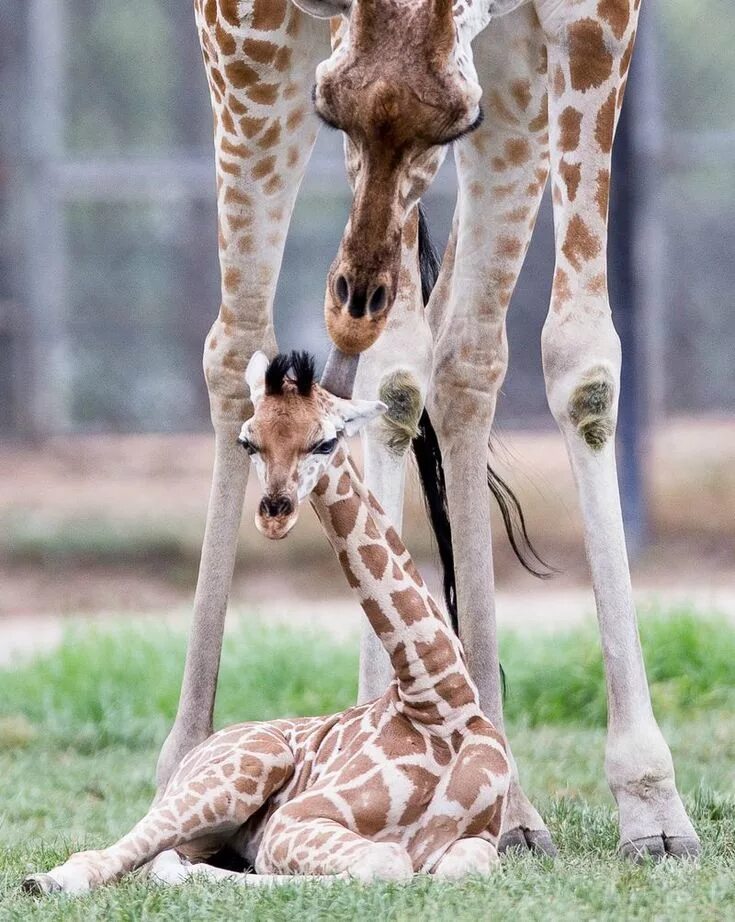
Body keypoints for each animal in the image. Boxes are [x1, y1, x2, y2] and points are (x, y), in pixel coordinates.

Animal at [25, 352, 516, 892]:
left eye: (326, 441)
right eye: (248, 440)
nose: (274, 514)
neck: (438, 700)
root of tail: (204, 748)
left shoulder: (482, 837)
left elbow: (457, 866)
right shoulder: (292, 821)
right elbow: (387, 863)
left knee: (170, 861)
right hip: (250, 764)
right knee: (129, 856)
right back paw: (51, 879)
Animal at [158, 0, 700, 860]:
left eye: (456, 122)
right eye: (327, 107)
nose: (352, 300)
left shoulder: (590, 26)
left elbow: (580, 360)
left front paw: (651, 807)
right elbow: (385, 372)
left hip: (515, 77)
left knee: (465, 353)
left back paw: (511, 804)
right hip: (245, 51)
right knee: (238, 343)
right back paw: (189, 759)